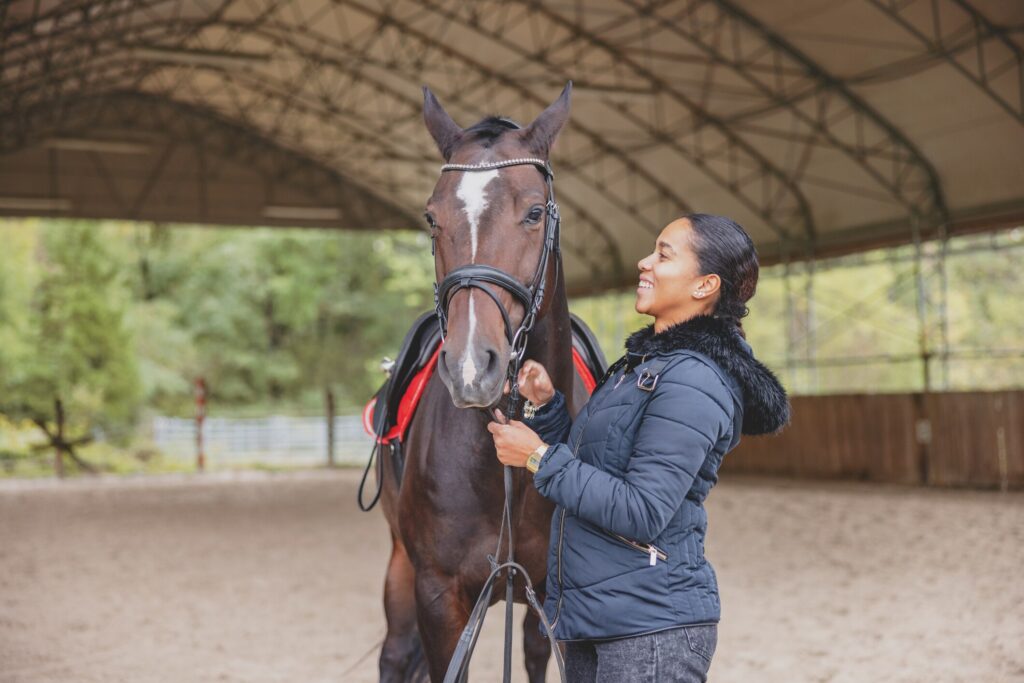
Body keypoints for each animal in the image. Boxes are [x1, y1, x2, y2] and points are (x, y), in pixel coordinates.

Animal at [375, 83, 586, 682]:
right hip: (400, 566)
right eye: (431, 217)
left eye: (534, 212)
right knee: (394, 656)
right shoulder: (438, 597)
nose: (472, 365)